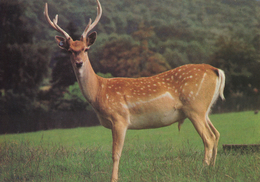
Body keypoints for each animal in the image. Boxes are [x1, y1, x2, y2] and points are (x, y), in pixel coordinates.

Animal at [43, 0, 224, 181]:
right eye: (70, 50)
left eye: (86, 49)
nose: (79, 63)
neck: (99, 91)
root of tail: (216, 70)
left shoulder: (119, 118)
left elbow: (115, 154)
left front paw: (113, 178)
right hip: (204, 109)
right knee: (216, 134)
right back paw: (212, 168)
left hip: (195, 106)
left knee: (208, 138)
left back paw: (203, 170)